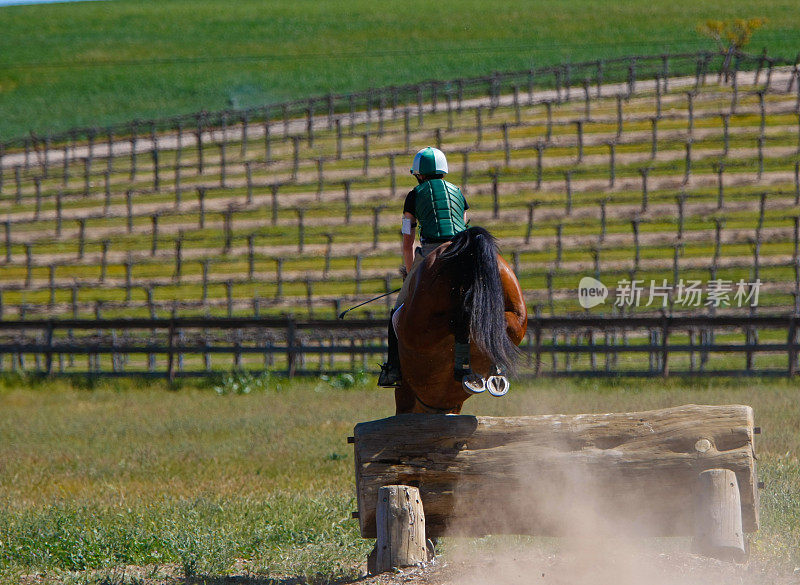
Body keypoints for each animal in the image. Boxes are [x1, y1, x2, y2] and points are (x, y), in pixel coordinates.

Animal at [392, 226, 528, 412]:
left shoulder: (405, 394)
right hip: (516, 314)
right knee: (496, 324)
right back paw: (492, 373)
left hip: (422, 328)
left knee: (461, 320)